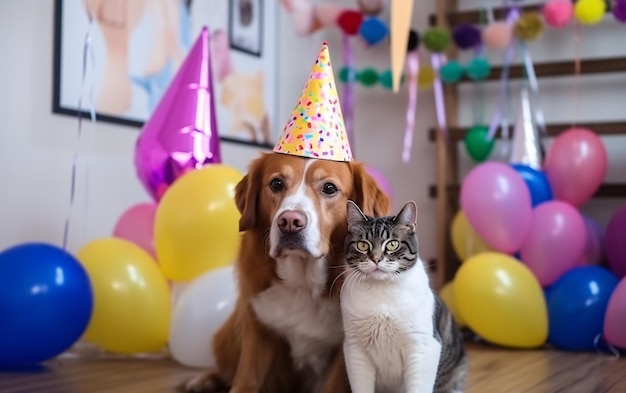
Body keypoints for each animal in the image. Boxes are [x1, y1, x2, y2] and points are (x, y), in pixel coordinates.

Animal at [184, 152, 390, 392]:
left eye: (329, 188)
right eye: (276, 183)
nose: (290, 222)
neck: (302, 282)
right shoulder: (257, 326)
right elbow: (246, 377)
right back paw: (205, 379)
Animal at [338, 201, 466, 390]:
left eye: (392, 244)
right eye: (362, 245)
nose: (376, 259)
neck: (382, 293)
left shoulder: (424, 346)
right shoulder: (355, 348)